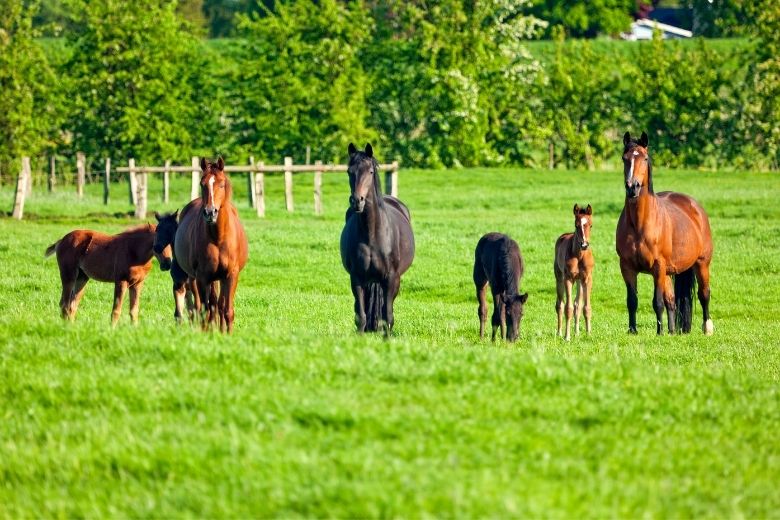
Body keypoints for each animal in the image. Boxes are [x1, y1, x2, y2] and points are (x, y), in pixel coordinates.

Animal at [174, 155, 247, 334]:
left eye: (221, 183)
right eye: (202, 184)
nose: (210, 212)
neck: (218, 238)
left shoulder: (231, 275)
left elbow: (227, 309)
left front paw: (227, 333)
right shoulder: (202, 277)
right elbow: (206, 309)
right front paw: (208, 333)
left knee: (218, 304)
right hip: (196, 278)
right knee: (203, 305)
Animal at [340, 144, 414, 336]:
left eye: (371, 171)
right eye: (349, 171)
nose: (357, 201)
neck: (372, 233)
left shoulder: (391, 279)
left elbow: (388, 316)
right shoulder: (357, 278)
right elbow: (360, 316)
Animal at [552, 203, 596, 342]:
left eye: (591, 225)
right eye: (576, 225)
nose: (584, 245)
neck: (580, 255)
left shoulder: (587, 279)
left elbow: (586, 307)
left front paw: (589, 334)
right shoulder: (568, 279)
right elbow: (568, 308)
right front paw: (567, 337)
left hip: (579, 281)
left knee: (578, 305)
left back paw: (577, 333)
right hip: (559, 278)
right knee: (560, 305)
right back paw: (560, 333)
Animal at [616, 130, 712, 336]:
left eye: (644, 158)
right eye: (624, 158)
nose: (632, 187)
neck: (639, 224)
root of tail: (695, 207)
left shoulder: (657, 267)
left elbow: (657, 302)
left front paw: (659, 332)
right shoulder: (627, 267)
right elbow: (632, 301)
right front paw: (633, 330)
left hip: (702, 263)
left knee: (704, 294)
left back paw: (707, 328)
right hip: (668, 272)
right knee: (672, 300)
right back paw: (672, 331)